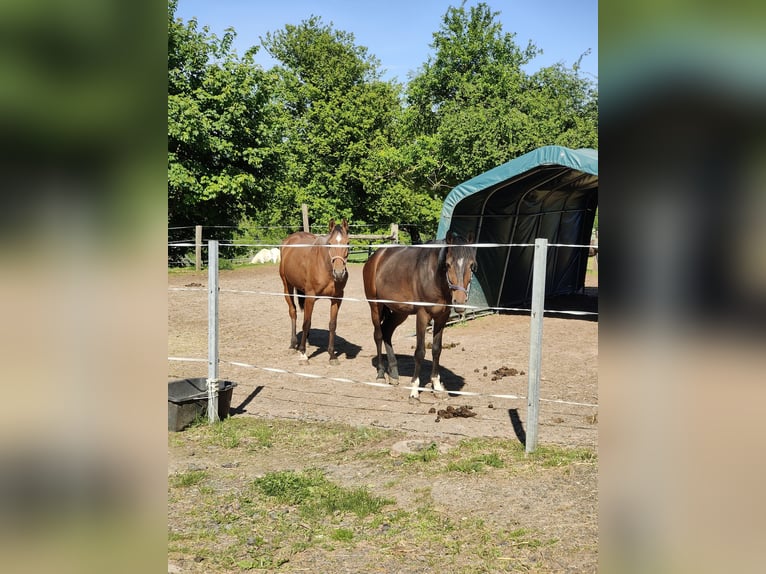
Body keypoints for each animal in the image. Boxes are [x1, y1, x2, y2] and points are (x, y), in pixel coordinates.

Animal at [279, 219, 350, 364]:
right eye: (330, 243)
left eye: (348, 243)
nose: (339, 273)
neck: (325, 267)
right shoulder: (310, 297)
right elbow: (306, 323)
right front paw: (303, 354)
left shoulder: (337, 298)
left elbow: (332, 324)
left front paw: (332, 355)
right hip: (287, 286)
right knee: (293, 312)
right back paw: (293, 344)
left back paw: (305, 341)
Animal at [362, 230, 477, 399]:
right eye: (448, 264)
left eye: (471, 265)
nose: (460, 301)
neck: (433, 277)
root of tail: (375, 257)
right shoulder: (423, 315)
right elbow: (420, 352)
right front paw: (414, 390)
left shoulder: (442, 317)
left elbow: (436, 349)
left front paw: (437, 386)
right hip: (376, 306)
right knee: (378, 335)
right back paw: (381, 374)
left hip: (399, 312)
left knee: (387, 332)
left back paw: (394, 374)